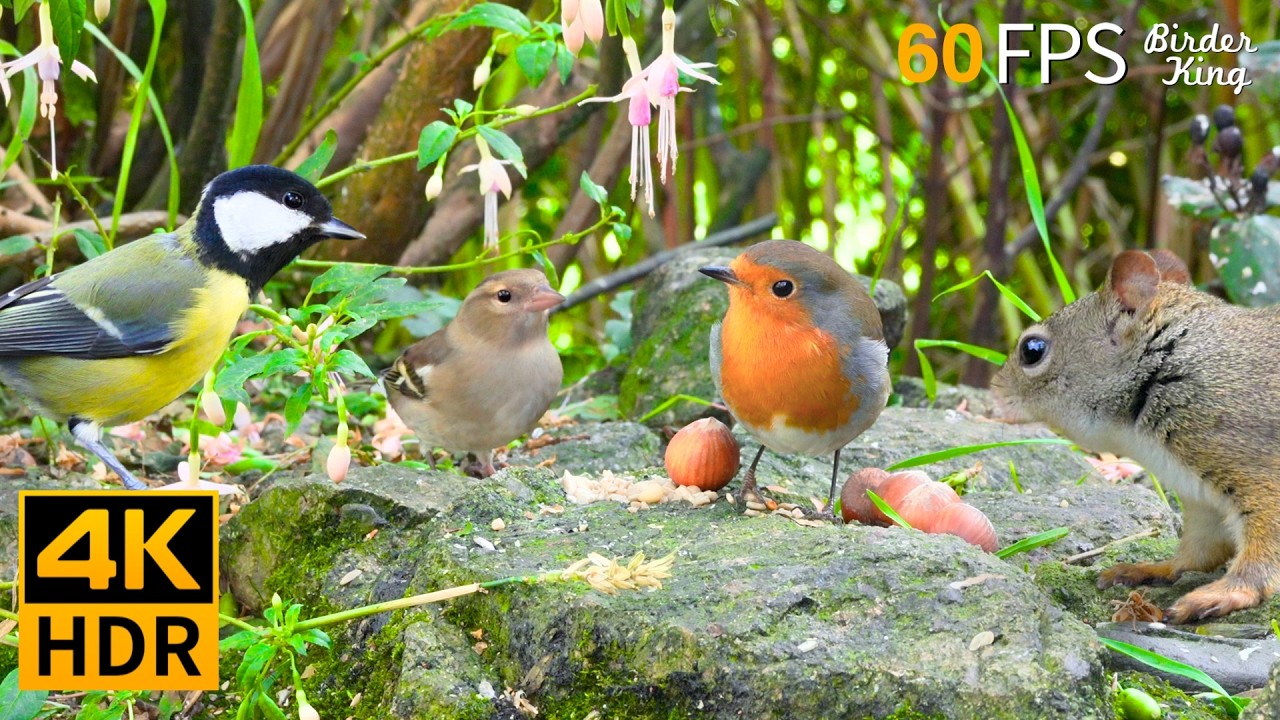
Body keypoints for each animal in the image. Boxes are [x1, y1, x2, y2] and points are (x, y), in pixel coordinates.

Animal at [992, 249, 1280, 623]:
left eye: (1032, 349)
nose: (993, 391)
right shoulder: (1203, 499)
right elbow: (1199, 551)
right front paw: (1152, 568)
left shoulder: (1256, 466)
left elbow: (1263, 549)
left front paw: (1227, 592)